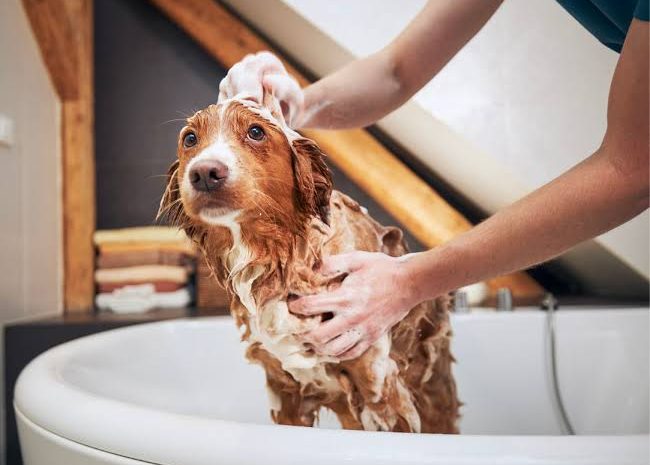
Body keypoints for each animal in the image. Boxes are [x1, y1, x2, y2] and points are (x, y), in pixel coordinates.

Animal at [159, 89, 458, 432]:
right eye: (190, 138)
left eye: (256, 131)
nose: (205, 173)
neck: (280, 259)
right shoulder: (285, 391)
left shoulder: (379, 388)